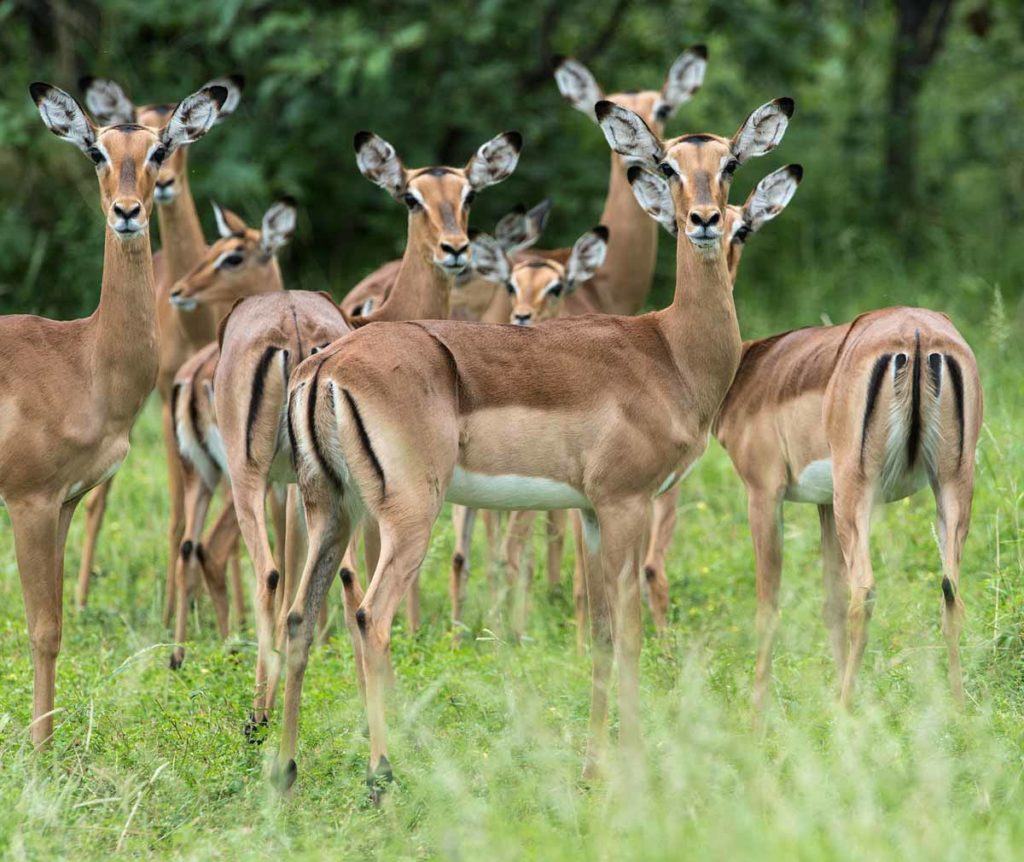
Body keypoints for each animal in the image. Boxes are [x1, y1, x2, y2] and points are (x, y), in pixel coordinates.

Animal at [2, 82, 223, 745]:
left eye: (160, 150)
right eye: (97, 151)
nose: (127, 212)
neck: (82, 361)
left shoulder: (66, 502)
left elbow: (55, 631)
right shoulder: (28, 501)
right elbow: (42, 629)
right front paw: (39, 752)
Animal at [74, 72, 243, 610]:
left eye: (168, 145)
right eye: (100, 151)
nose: (160, 189)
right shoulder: (168, 397)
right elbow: (176, 515)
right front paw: (174, 607)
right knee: (98, 502)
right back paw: (82, 599)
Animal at [166, 198, 296, 667]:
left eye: (232, 256)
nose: (179, 290)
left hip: (203, 474)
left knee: (191, 546)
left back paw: (181, 655)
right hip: (239, 476)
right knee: (221, 550)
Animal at [276, 97, 794, 790]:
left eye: (730, 163)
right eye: (666, 165)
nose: (706, 221)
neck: (670, 351)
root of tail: (327, 366)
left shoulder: (592, 514)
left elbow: (600, 634)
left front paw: (595, 766)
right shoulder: (625, 504)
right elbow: (629, 634)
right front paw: (631, 766)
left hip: (330, 509)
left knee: (299, 617)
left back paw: (284, 773)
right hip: (408, 514)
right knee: (370, 617)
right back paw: (382, 773)